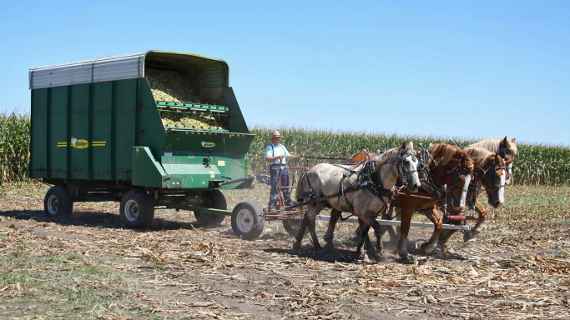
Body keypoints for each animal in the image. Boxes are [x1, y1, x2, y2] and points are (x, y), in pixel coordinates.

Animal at [290, 142, 420, 260]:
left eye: (417, 162)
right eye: (406, 162)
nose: (416, 185)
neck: (373, 179)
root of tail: (308, 171)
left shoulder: (371, 213)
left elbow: (364, 231)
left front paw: (360, 252)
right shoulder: (363, 212)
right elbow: (376, 228)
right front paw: (379, 251)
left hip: (320, 203)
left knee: (307, 218)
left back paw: (302, 243)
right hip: (314, 202)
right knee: (310, 218)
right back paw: (313, 245)